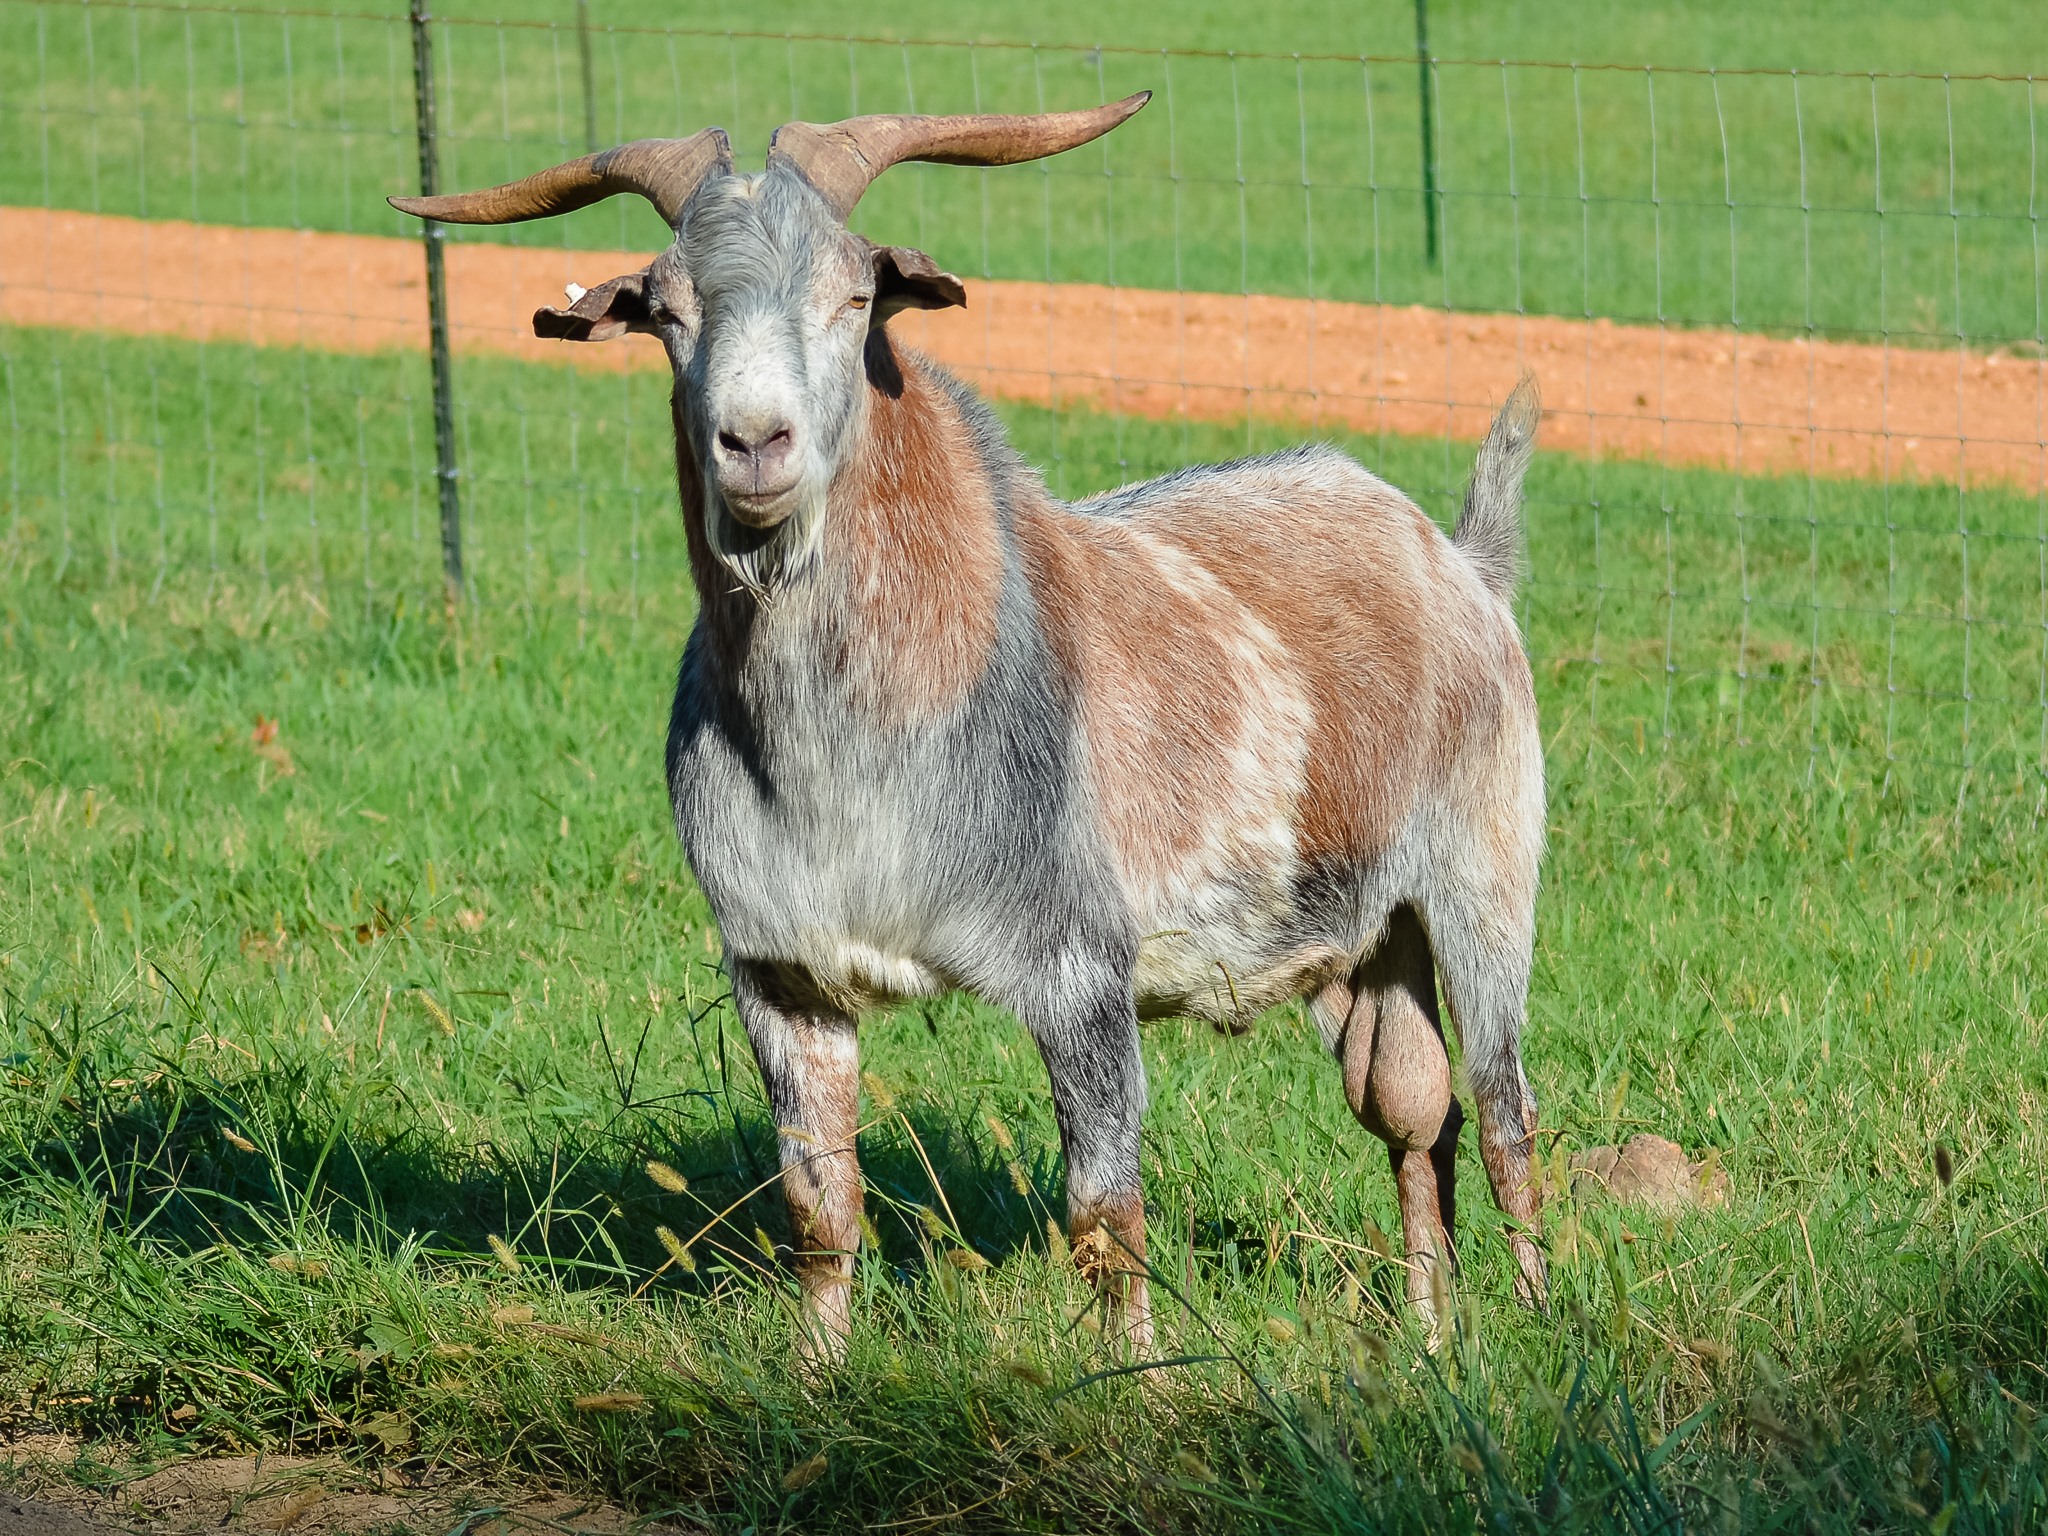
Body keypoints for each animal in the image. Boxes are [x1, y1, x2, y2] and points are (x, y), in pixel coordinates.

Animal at [393, 96, 1548, 1357]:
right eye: (665, 308)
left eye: (853, 294)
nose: (753, 444)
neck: (855, 758)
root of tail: (1457, 561)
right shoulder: (777, 972)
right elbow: (819, 1207)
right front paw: (815, 1378)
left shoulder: (1079, 970)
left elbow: (1104, 1219)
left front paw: (1135, 1383)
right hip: (1360, 939)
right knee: (1412, 1113)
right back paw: (1432, 1336)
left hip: (1483, 883)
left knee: (1502, 1115)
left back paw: (1539, 1322)